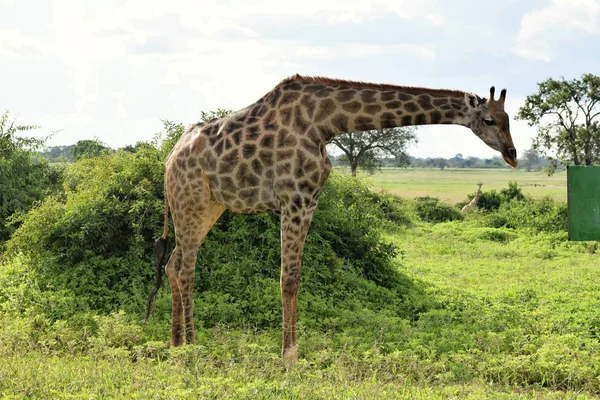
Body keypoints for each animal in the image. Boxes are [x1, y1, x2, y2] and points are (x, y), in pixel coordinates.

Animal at [149, 72, 516, 366]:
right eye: (489, 120)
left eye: (509, 118)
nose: (512, 155)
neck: (325, 123)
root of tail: (168, 161)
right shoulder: (293, 199)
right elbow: (288, 279)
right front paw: (290, 355)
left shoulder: (310, 202)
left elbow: (294, 277)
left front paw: (290, 351)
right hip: (191, 201)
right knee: (185, 269)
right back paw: (192, 346)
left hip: (208, 207)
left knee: (172, 265)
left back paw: (176, 343)